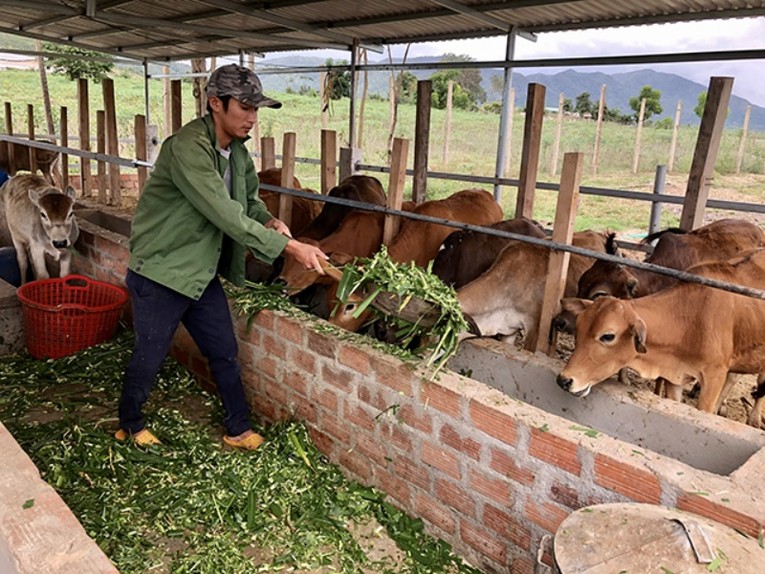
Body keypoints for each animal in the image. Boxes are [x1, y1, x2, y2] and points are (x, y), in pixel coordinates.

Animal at [556, 250, 764, 416]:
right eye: (579, 330)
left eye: (608, 336)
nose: (564, 380)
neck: (689, 319)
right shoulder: (676, 377)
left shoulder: (714, 377)